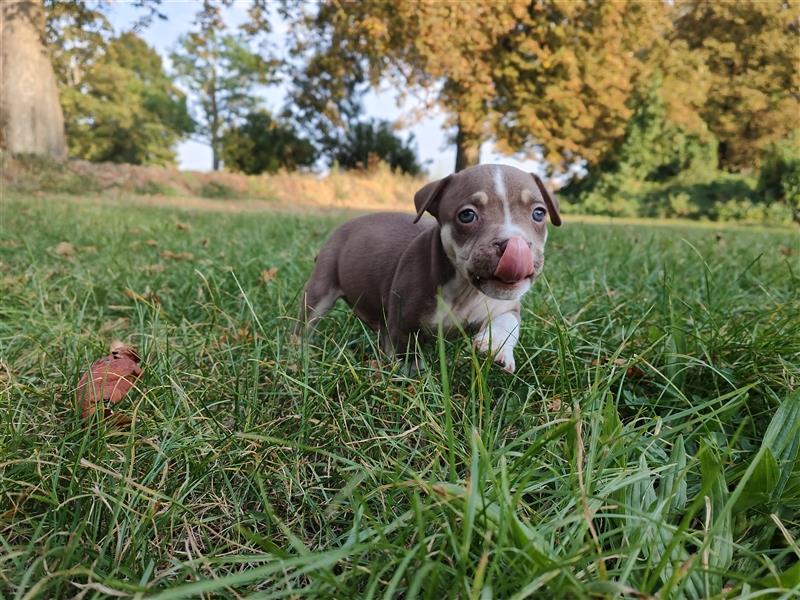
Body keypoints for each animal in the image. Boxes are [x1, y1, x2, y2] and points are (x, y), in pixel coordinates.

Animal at [296, 164, 564, 370]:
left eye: (539, 213)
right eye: (467, 216)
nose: (514, 245)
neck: (465, 290)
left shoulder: (506, 305)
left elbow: (507, 323)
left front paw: (495, 347)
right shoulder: (403, 321)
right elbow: (406, 350)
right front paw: (411, 374)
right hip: (320, 286)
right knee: (306, 321)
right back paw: (298, 351)